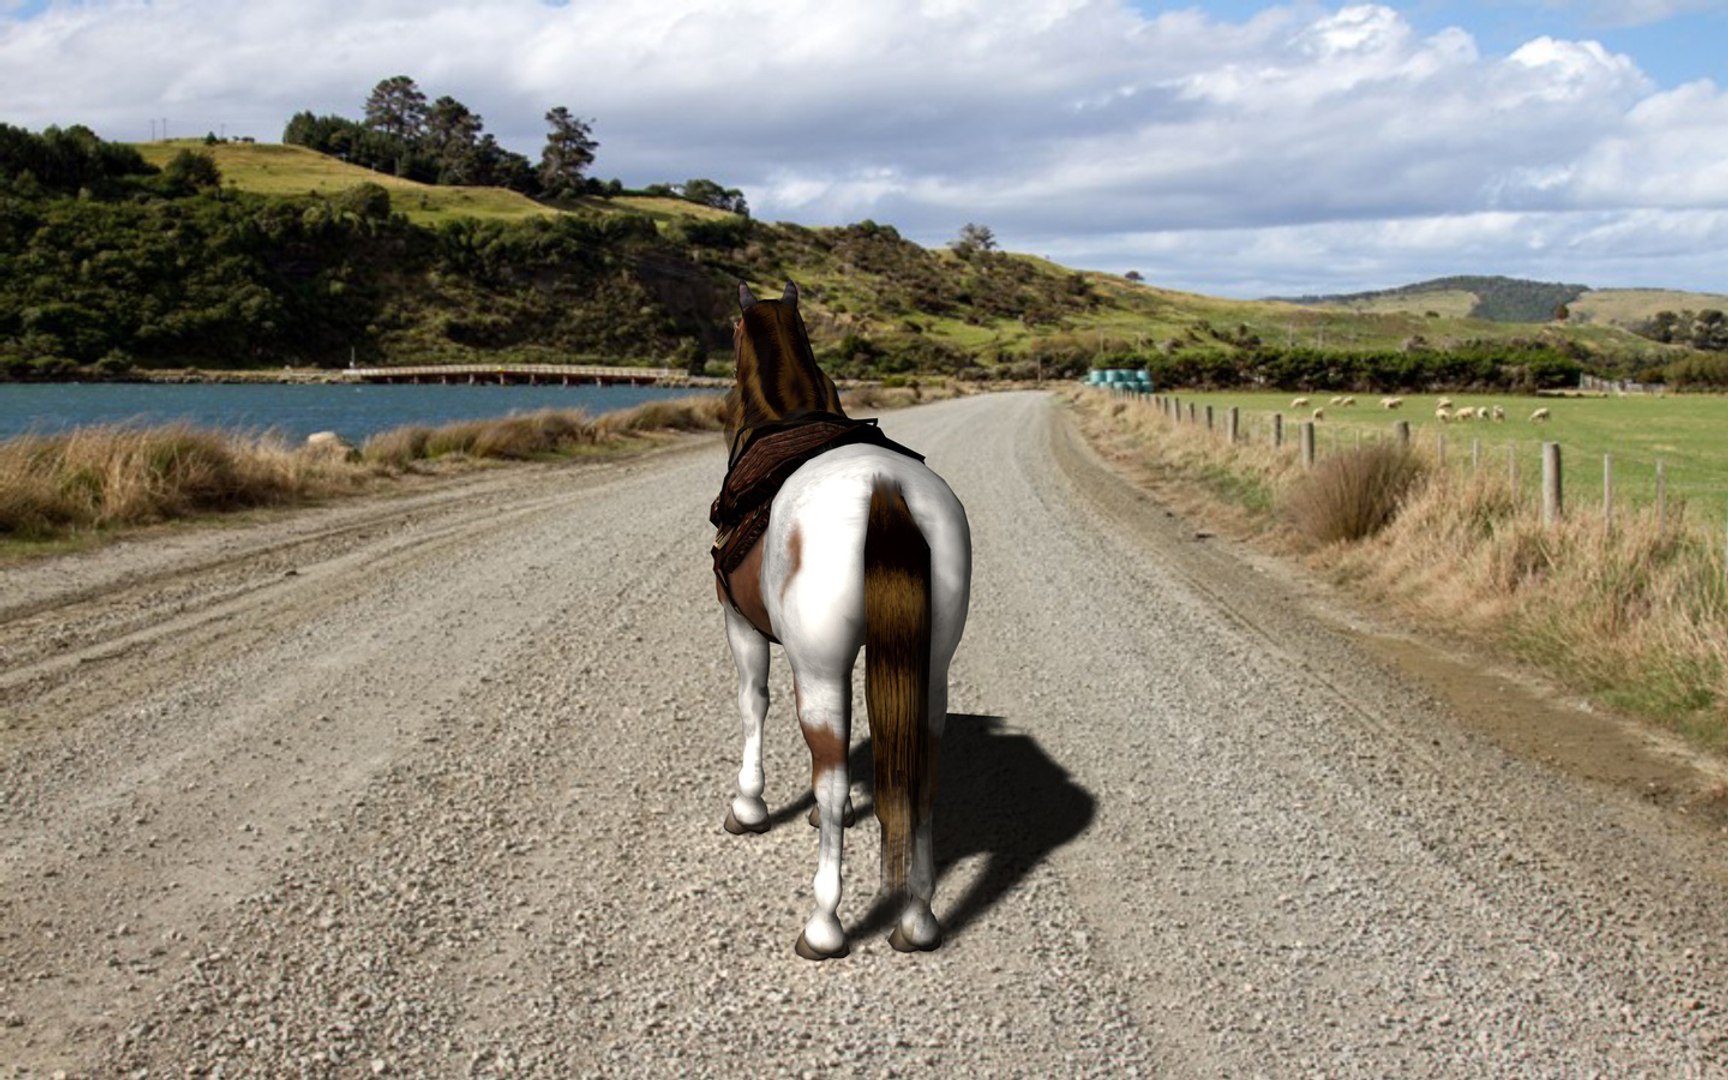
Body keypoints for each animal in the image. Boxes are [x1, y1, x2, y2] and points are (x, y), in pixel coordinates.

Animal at [711, 280, 972, 959]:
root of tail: (885, 489)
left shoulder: (742, 627)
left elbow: (753, 702)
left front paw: (749, 806)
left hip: (819, 669)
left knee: (826, 777)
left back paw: (824, 924)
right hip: (931, 668)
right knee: (920, 779)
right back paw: (918, 919)